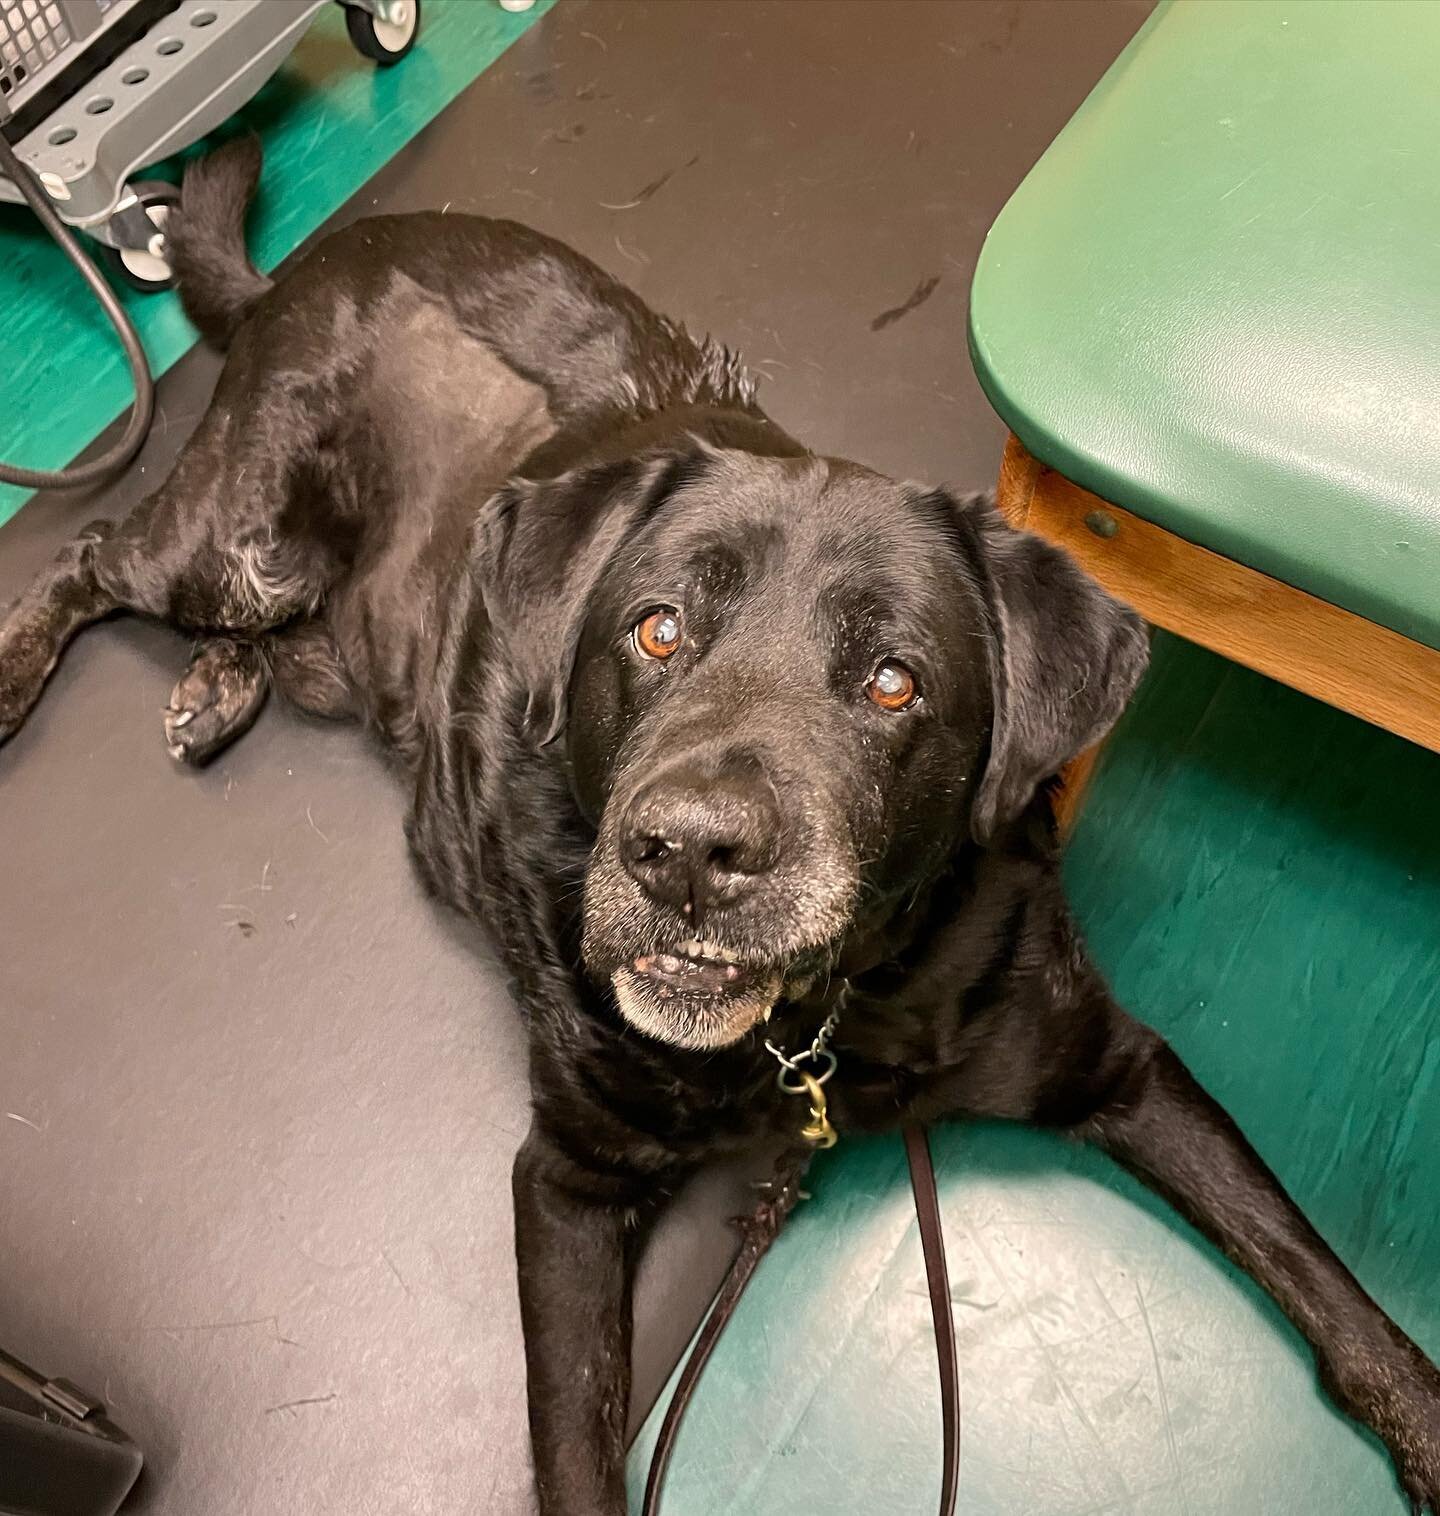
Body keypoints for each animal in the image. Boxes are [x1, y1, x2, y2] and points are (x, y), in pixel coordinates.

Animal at [0, 139, 1436, 1503]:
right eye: (657, 629)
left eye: (894, 681)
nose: (687, 851)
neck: (818, 1029)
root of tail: (310, 263)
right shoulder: (566, 1185)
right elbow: (574, 1447)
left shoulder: (1117, 1063)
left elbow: (1322, 1278)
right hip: (238, 538)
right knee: (92, 552)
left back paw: (217, 685)